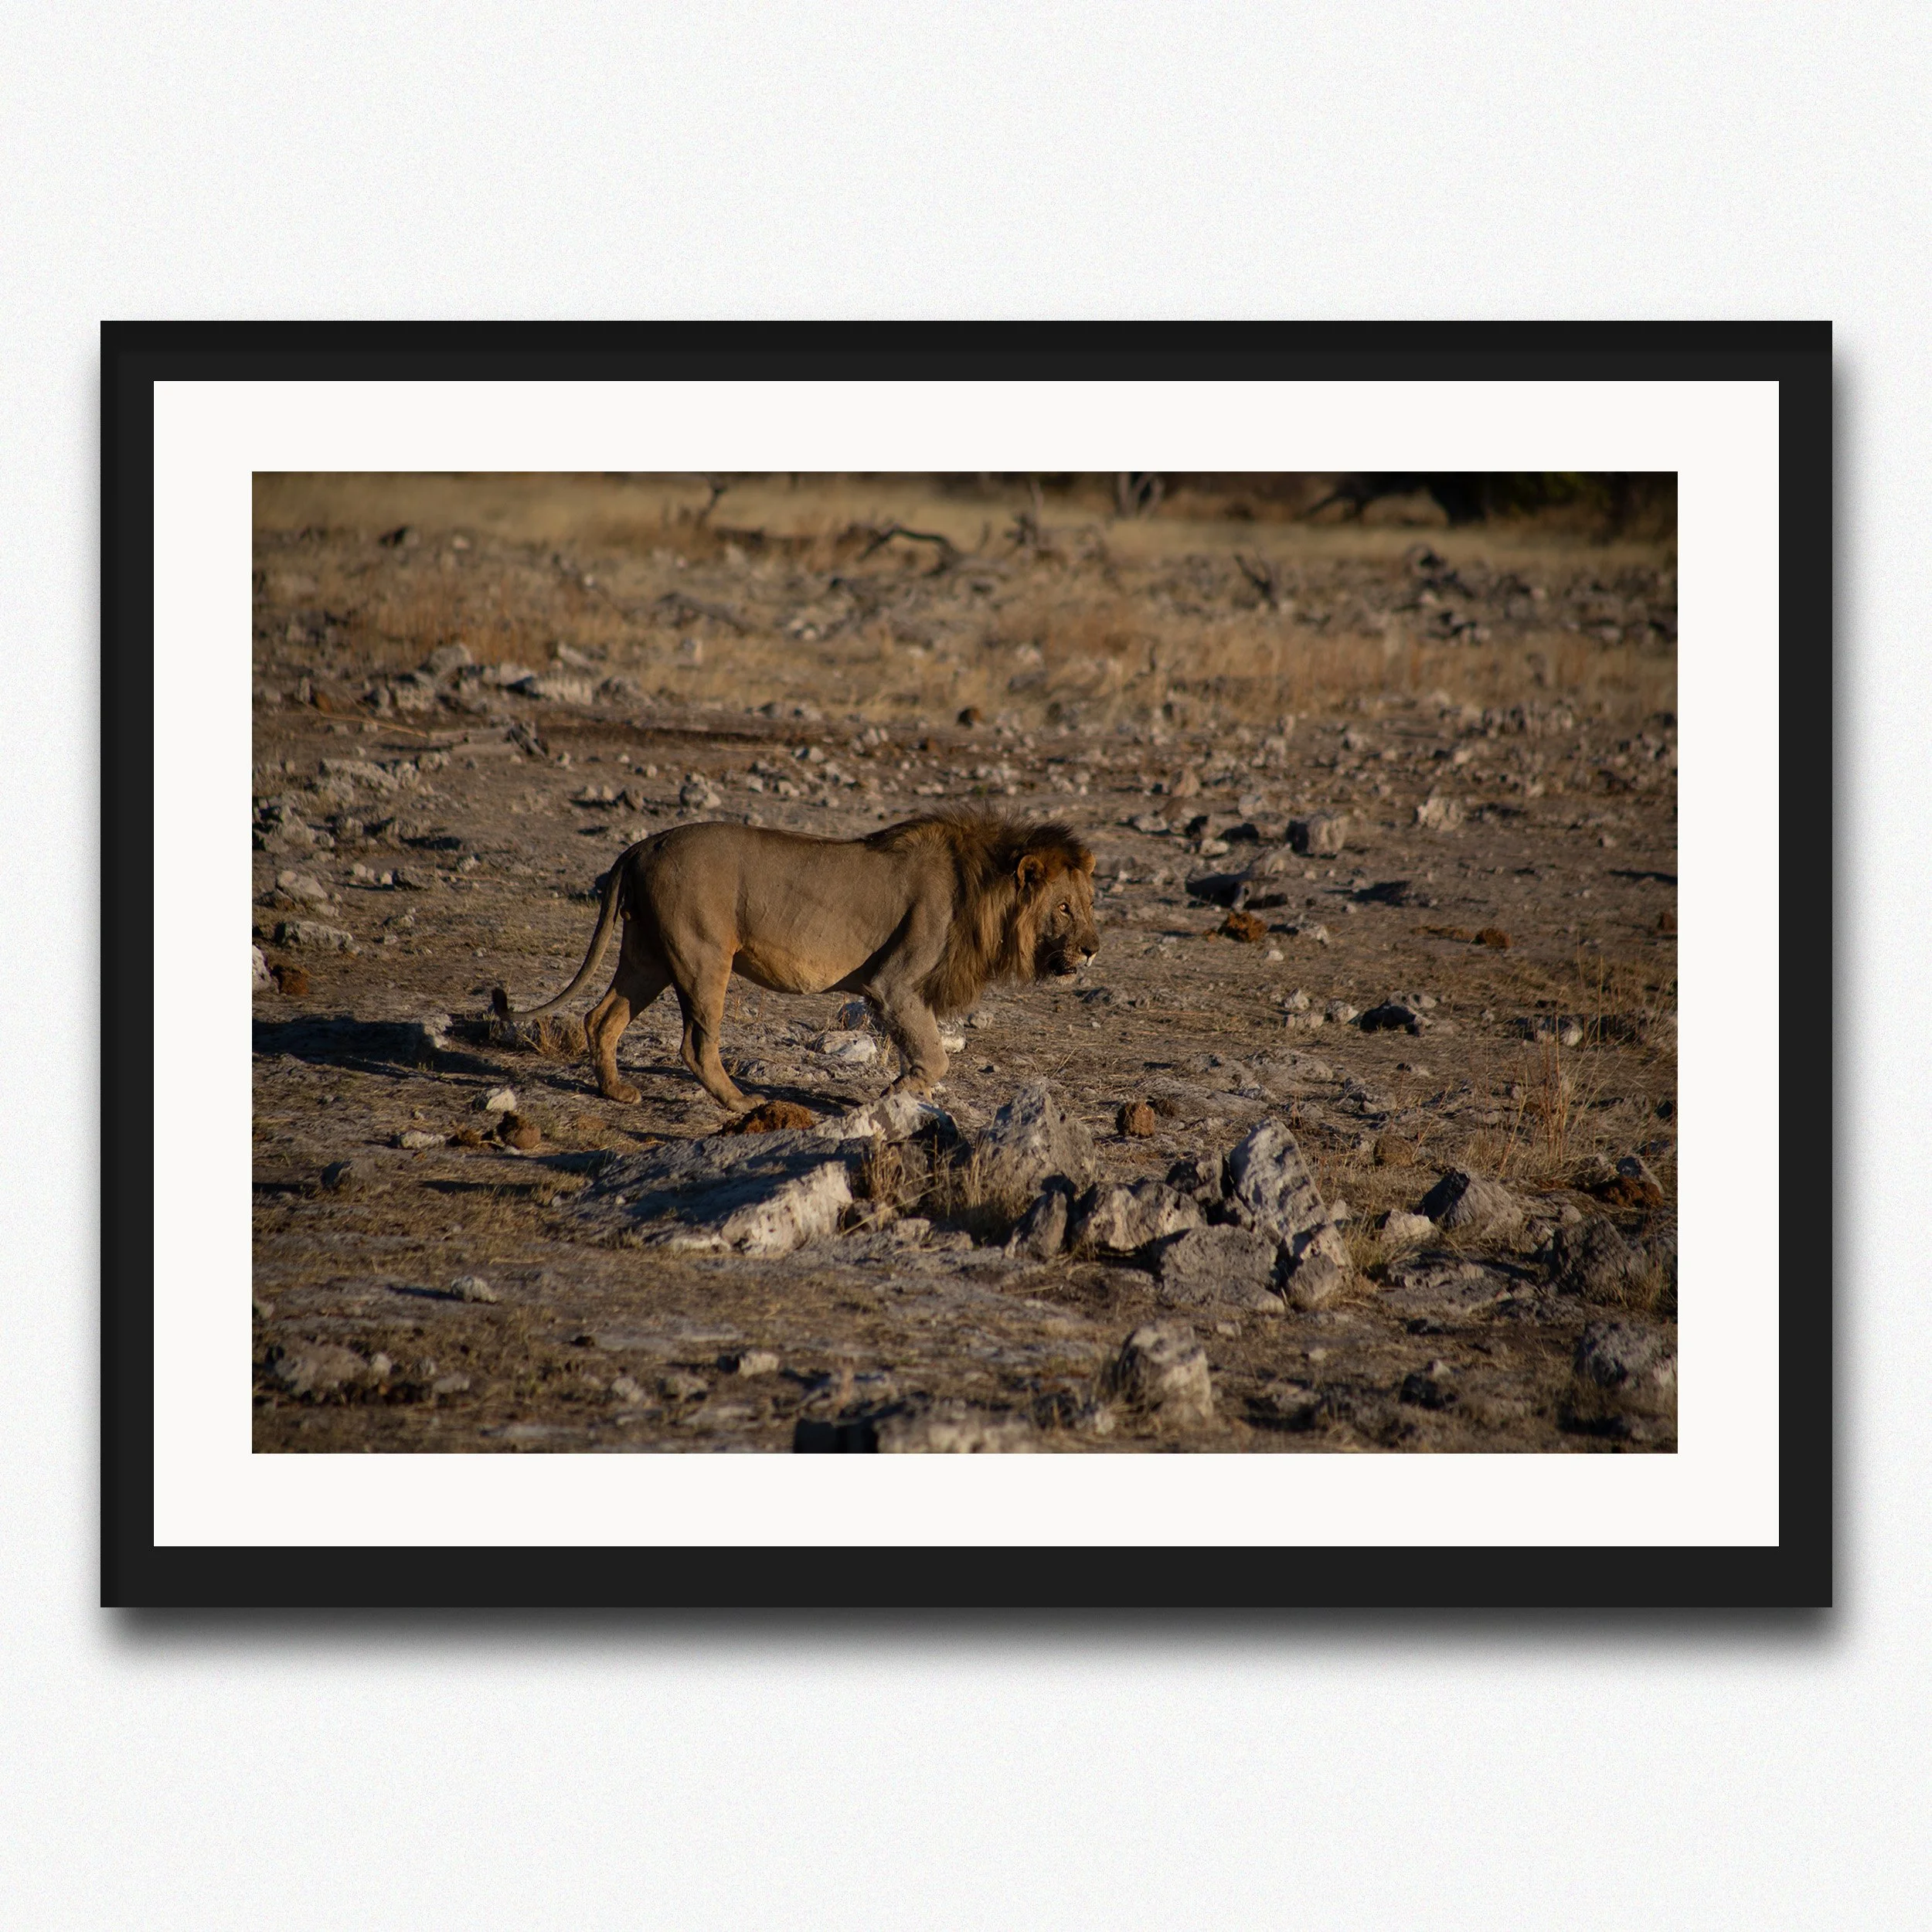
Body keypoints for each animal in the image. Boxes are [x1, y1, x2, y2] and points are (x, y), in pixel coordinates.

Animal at [491, 812, 1100, 1111]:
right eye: (1064, 908)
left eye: (1090, 903)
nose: (1093, 949)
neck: (983, 890)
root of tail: (645, 844)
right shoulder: (894, 983)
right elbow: (933, 1054)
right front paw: (897, 1095)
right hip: (702, 955)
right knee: (695, 1045)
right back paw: (740, 1103)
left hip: (648, 956)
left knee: (602, 1018)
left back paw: (616, 1092)